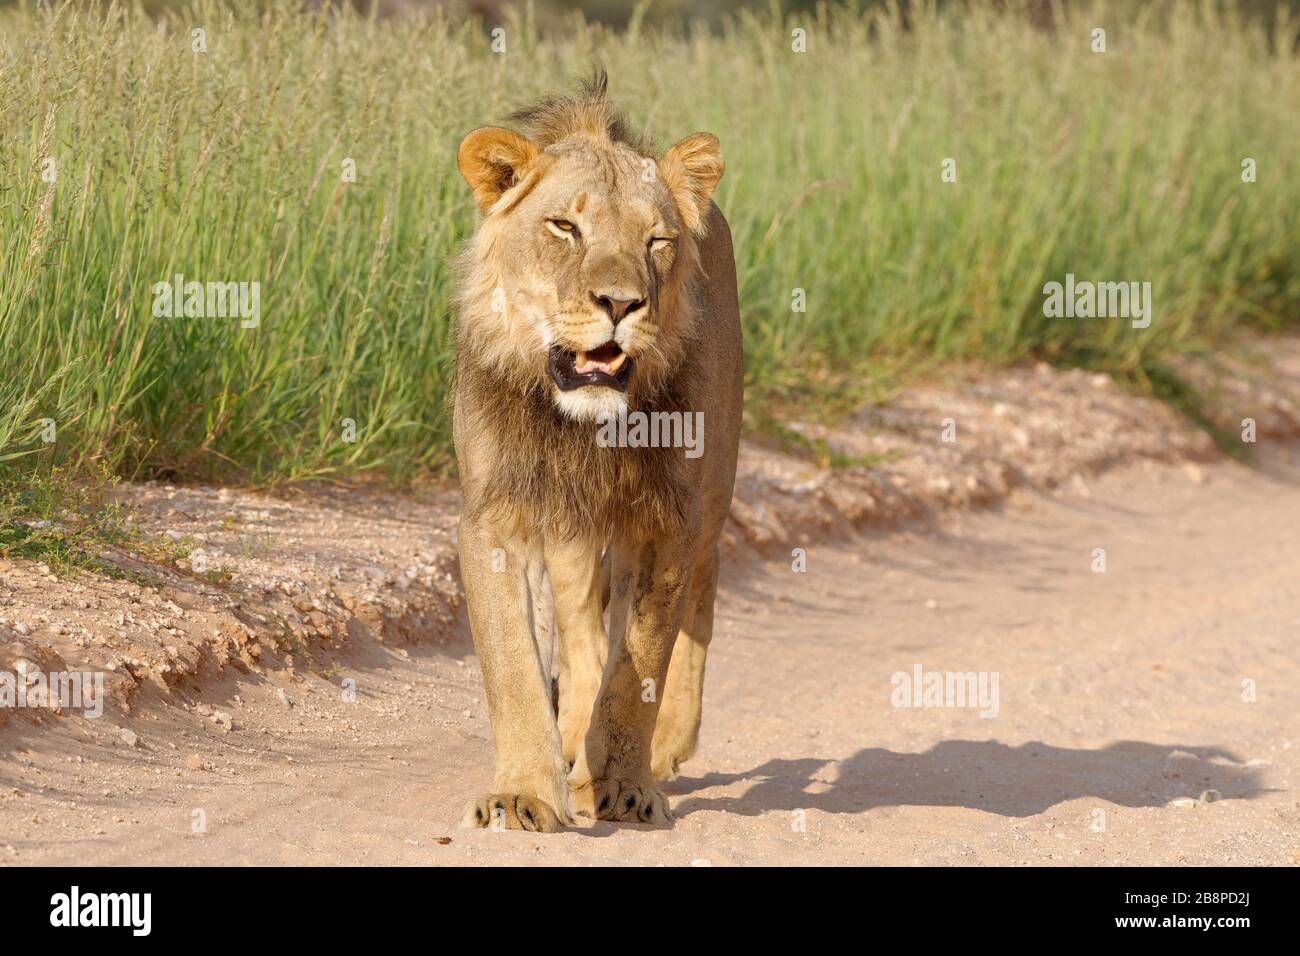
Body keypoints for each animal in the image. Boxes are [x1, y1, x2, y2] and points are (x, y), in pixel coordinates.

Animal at [454, 74, 743, 832]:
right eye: (566, 228)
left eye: (657, 240)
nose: (620, 303)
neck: (585, 429)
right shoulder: (497, 517)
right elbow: (515, 666)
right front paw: (524, 794)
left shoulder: (671, 520)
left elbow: (640, 663)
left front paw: (628, 784)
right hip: (572, 534)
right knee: (581, 637)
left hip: (714, 493)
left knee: (699, 602)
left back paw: (662, 746)